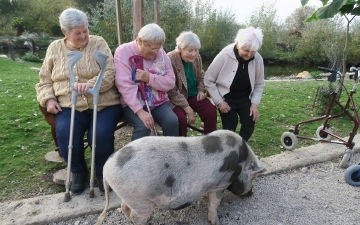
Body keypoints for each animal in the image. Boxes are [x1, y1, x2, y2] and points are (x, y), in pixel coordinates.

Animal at [95, 130, 264, 225]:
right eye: (253, 178)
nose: (252, 193)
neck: (241, 160)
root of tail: (106, 167)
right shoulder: (221, 183)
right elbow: (214, 204)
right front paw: (216, 222)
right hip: (139, 200)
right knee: (136, 216)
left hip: (130, 197)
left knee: (124, 207)